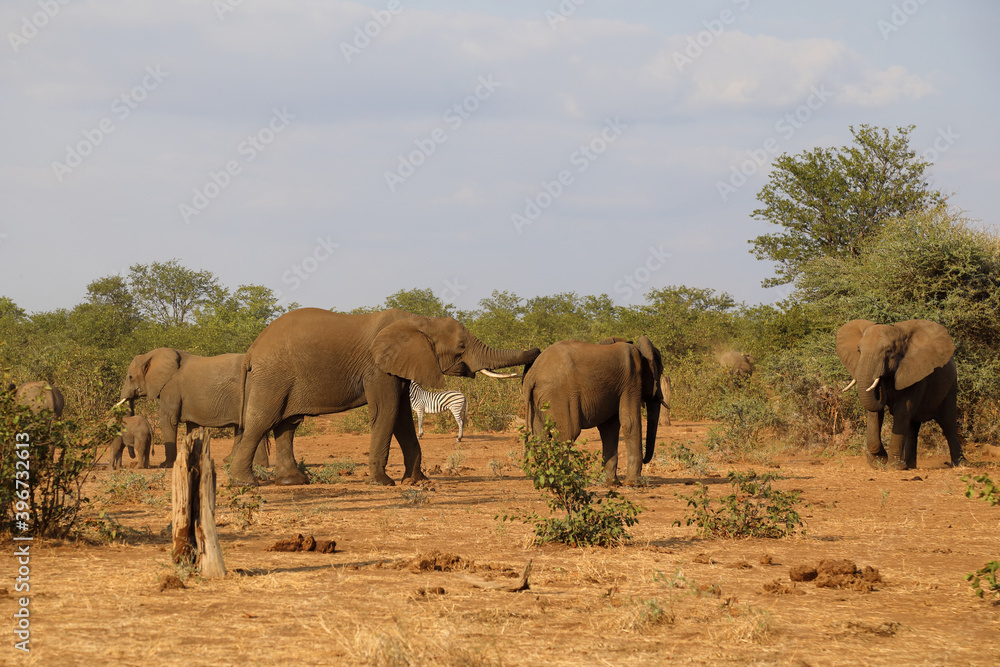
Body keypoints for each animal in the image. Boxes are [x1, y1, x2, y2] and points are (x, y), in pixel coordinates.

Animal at [119, 350, 270, 470]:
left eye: (130, 377)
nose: (132, 460)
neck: (150, 355)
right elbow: (193, 426)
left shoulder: (170, 387)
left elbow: (168, 420)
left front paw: (166, 465)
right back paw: (231, 460)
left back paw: (259, 465)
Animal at [231, 308, 544, 486]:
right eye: (461, 347)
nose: (537, 353)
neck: (419, 320)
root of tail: (251, 350)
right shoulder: (378, 368)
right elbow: (388, 411)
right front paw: (384, 483)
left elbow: (403, 417)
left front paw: (417, 481)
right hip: (272, 377)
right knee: (261, 422)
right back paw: (245, 484)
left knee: (288, 425)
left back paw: (294, 482)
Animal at [520, 340, 668, 486]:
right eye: (660, 371)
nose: (645, 460)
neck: (638, 348)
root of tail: (532, 374)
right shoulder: (631, 380)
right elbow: (629, 422)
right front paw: (633, 484)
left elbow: (609, 429)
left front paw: (609, 484)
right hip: (558, 396)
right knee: (567, 434)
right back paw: (564, 482)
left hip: (538, 400)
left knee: (541, 437)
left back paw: (545, 483)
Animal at [836, 320, 968, 472]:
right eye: (859, 351)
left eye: (889, 351)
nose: (880, 380)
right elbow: (875, 413)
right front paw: (878, 461)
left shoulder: (916, 374)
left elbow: (902, 411)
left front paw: (892, 466)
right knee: (913, 426)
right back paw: (909, 466)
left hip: (951, 386)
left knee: (948, 423)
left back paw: (960, 465)